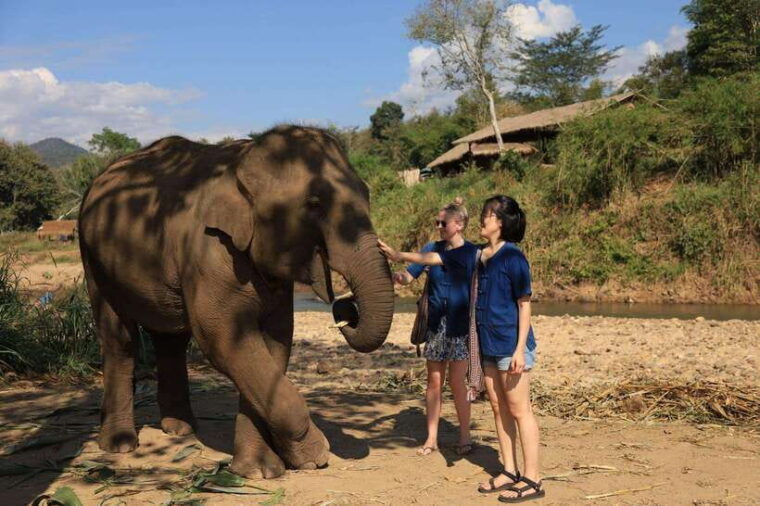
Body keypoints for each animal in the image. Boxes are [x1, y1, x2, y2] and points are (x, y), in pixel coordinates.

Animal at [77, 125, 394, 478]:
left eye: (367, 194)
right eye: (314, 203)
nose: (345, 309)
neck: (243, 160)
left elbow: (274, 342)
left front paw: (260, 470)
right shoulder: (209, 250)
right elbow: (223, 340)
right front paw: (313, 455)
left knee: (170, 339)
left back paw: (181, 429)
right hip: (93, 257)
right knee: (119, 337)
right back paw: (120, 444)